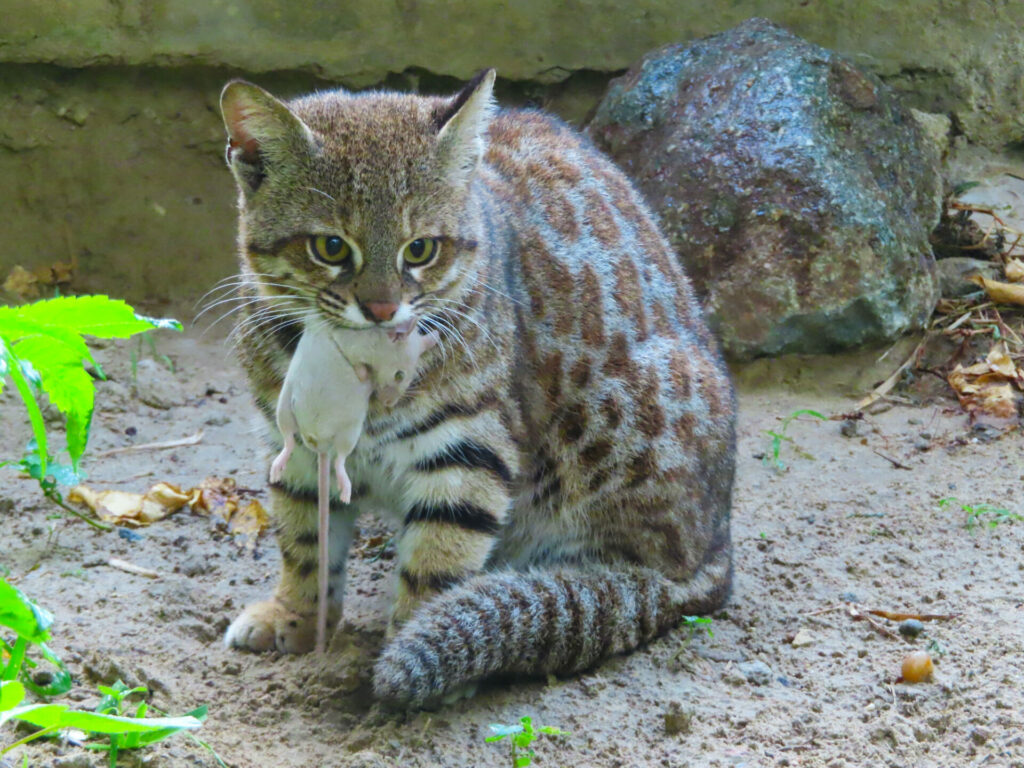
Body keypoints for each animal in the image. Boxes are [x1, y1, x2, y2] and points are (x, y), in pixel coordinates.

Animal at [218, 69, 737, 708]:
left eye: (420, 249)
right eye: (331, 247)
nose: (382, 308)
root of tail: (717, 553)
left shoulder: (468, 449)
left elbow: (434, 567)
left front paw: (410, 648)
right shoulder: (294, 444)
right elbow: (303, 544)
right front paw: (294, 614)